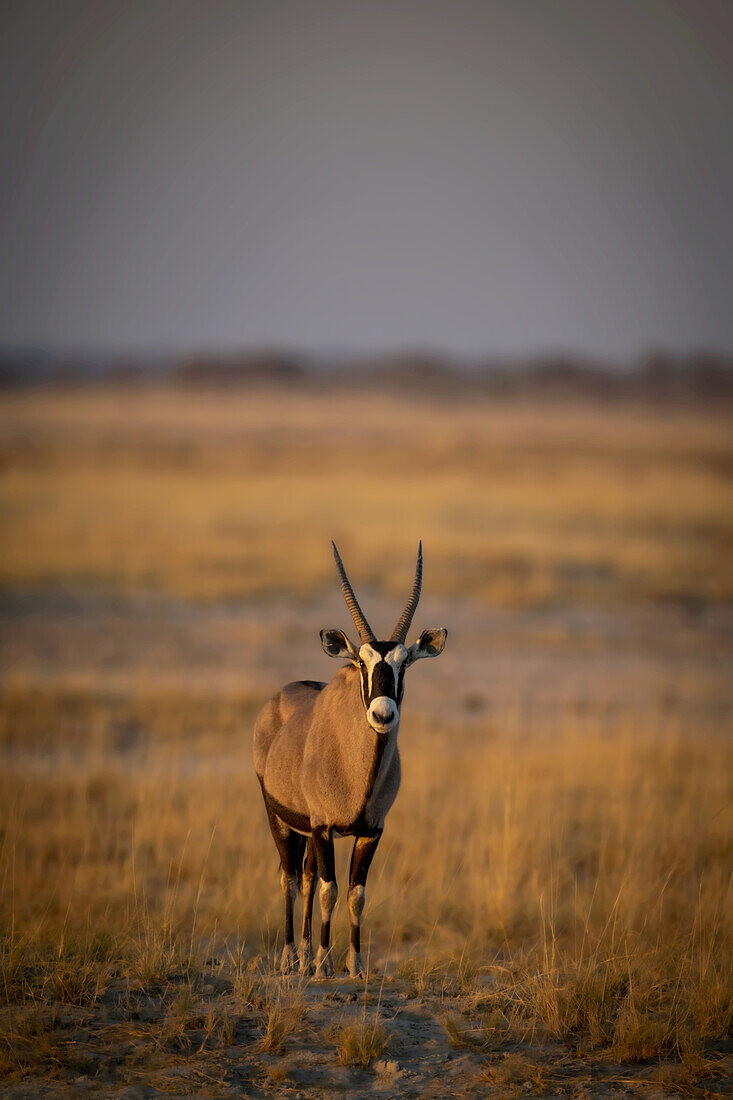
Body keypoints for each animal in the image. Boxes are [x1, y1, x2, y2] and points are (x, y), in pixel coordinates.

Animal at [250, 541, 444, 981]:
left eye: (404, 663)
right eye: (361, 663)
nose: (383, 715)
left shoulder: (371, 831)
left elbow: (356, 894)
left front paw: (355, 964)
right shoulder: (324, 828)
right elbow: (330, 890)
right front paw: (325, 963)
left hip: (305, 830)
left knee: (305, 876)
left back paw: (304, 954)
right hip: (280, 819)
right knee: (289, 878)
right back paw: (291, 957)